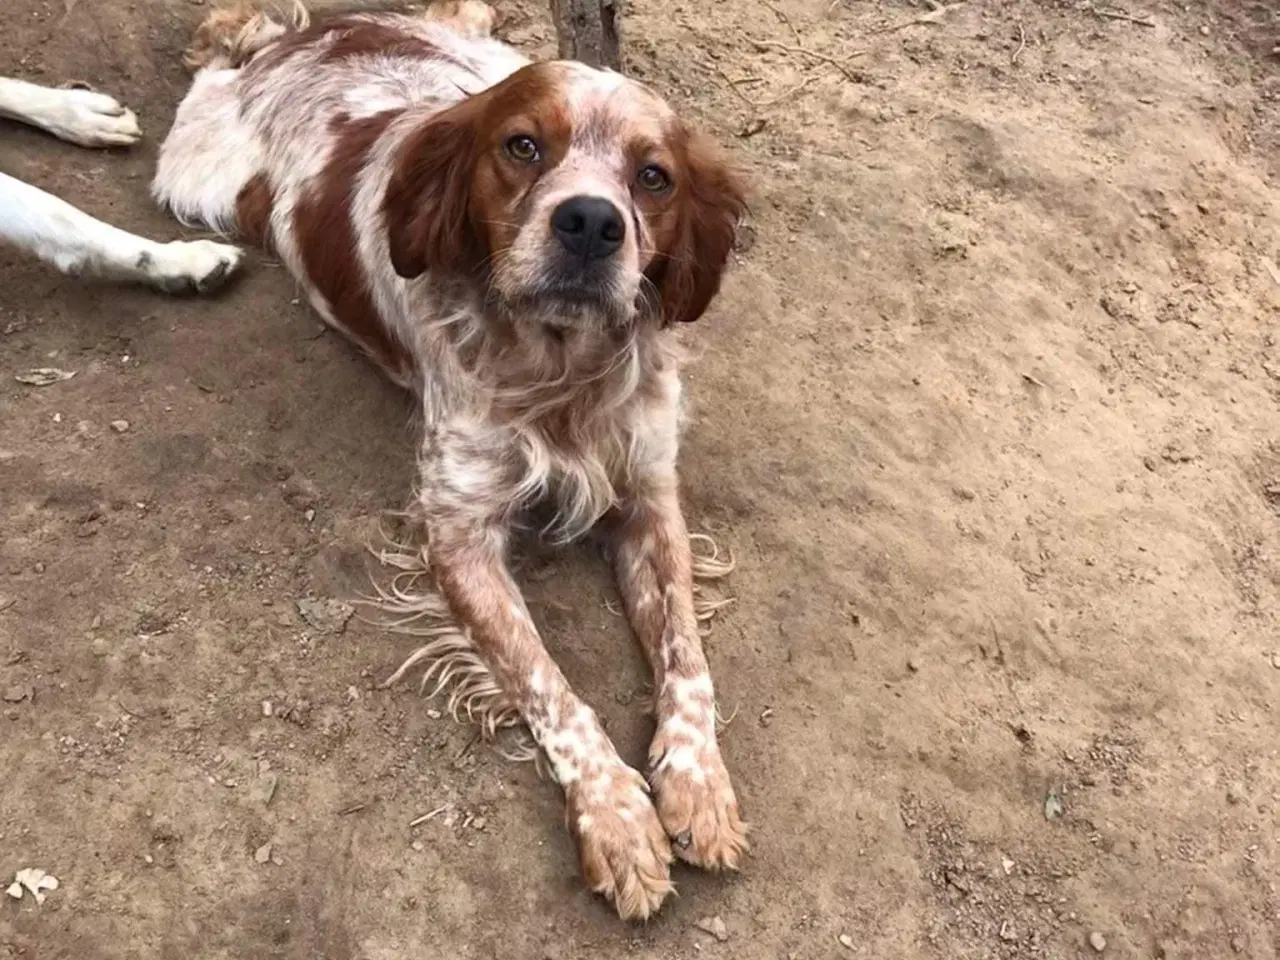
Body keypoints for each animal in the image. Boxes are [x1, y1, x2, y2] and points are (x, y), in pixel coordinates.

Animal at [151, 0, 747, 916]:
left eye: (655, 177)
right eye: (522, 147)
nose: (590, 222)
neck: (559, 374)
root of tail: (322, 32)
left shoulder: (650, 495)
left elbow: (687, 662)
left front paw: (699, 784)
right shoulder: (457, 534)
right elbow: (550, 688)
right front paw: (616, 818)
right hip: (194, 167)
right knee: (223, 48)